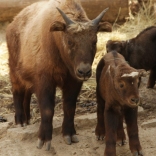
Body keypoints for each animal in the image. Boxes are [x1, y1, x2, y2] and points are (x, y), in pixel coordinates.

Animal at [5, 0, 111, 151]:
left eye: (94, 41)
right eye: (70, 41)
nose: (84, 71)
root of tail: (14, 22)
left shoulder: (73, 82)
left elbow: (70, 107)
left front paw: (69, 133)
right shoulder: (44, 81)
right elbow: (47, 110)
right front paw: (44, 138)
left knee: (27, 94)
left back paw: (27, 118)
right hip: (15, 71)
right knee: (17, 92)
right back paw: (20, 119)